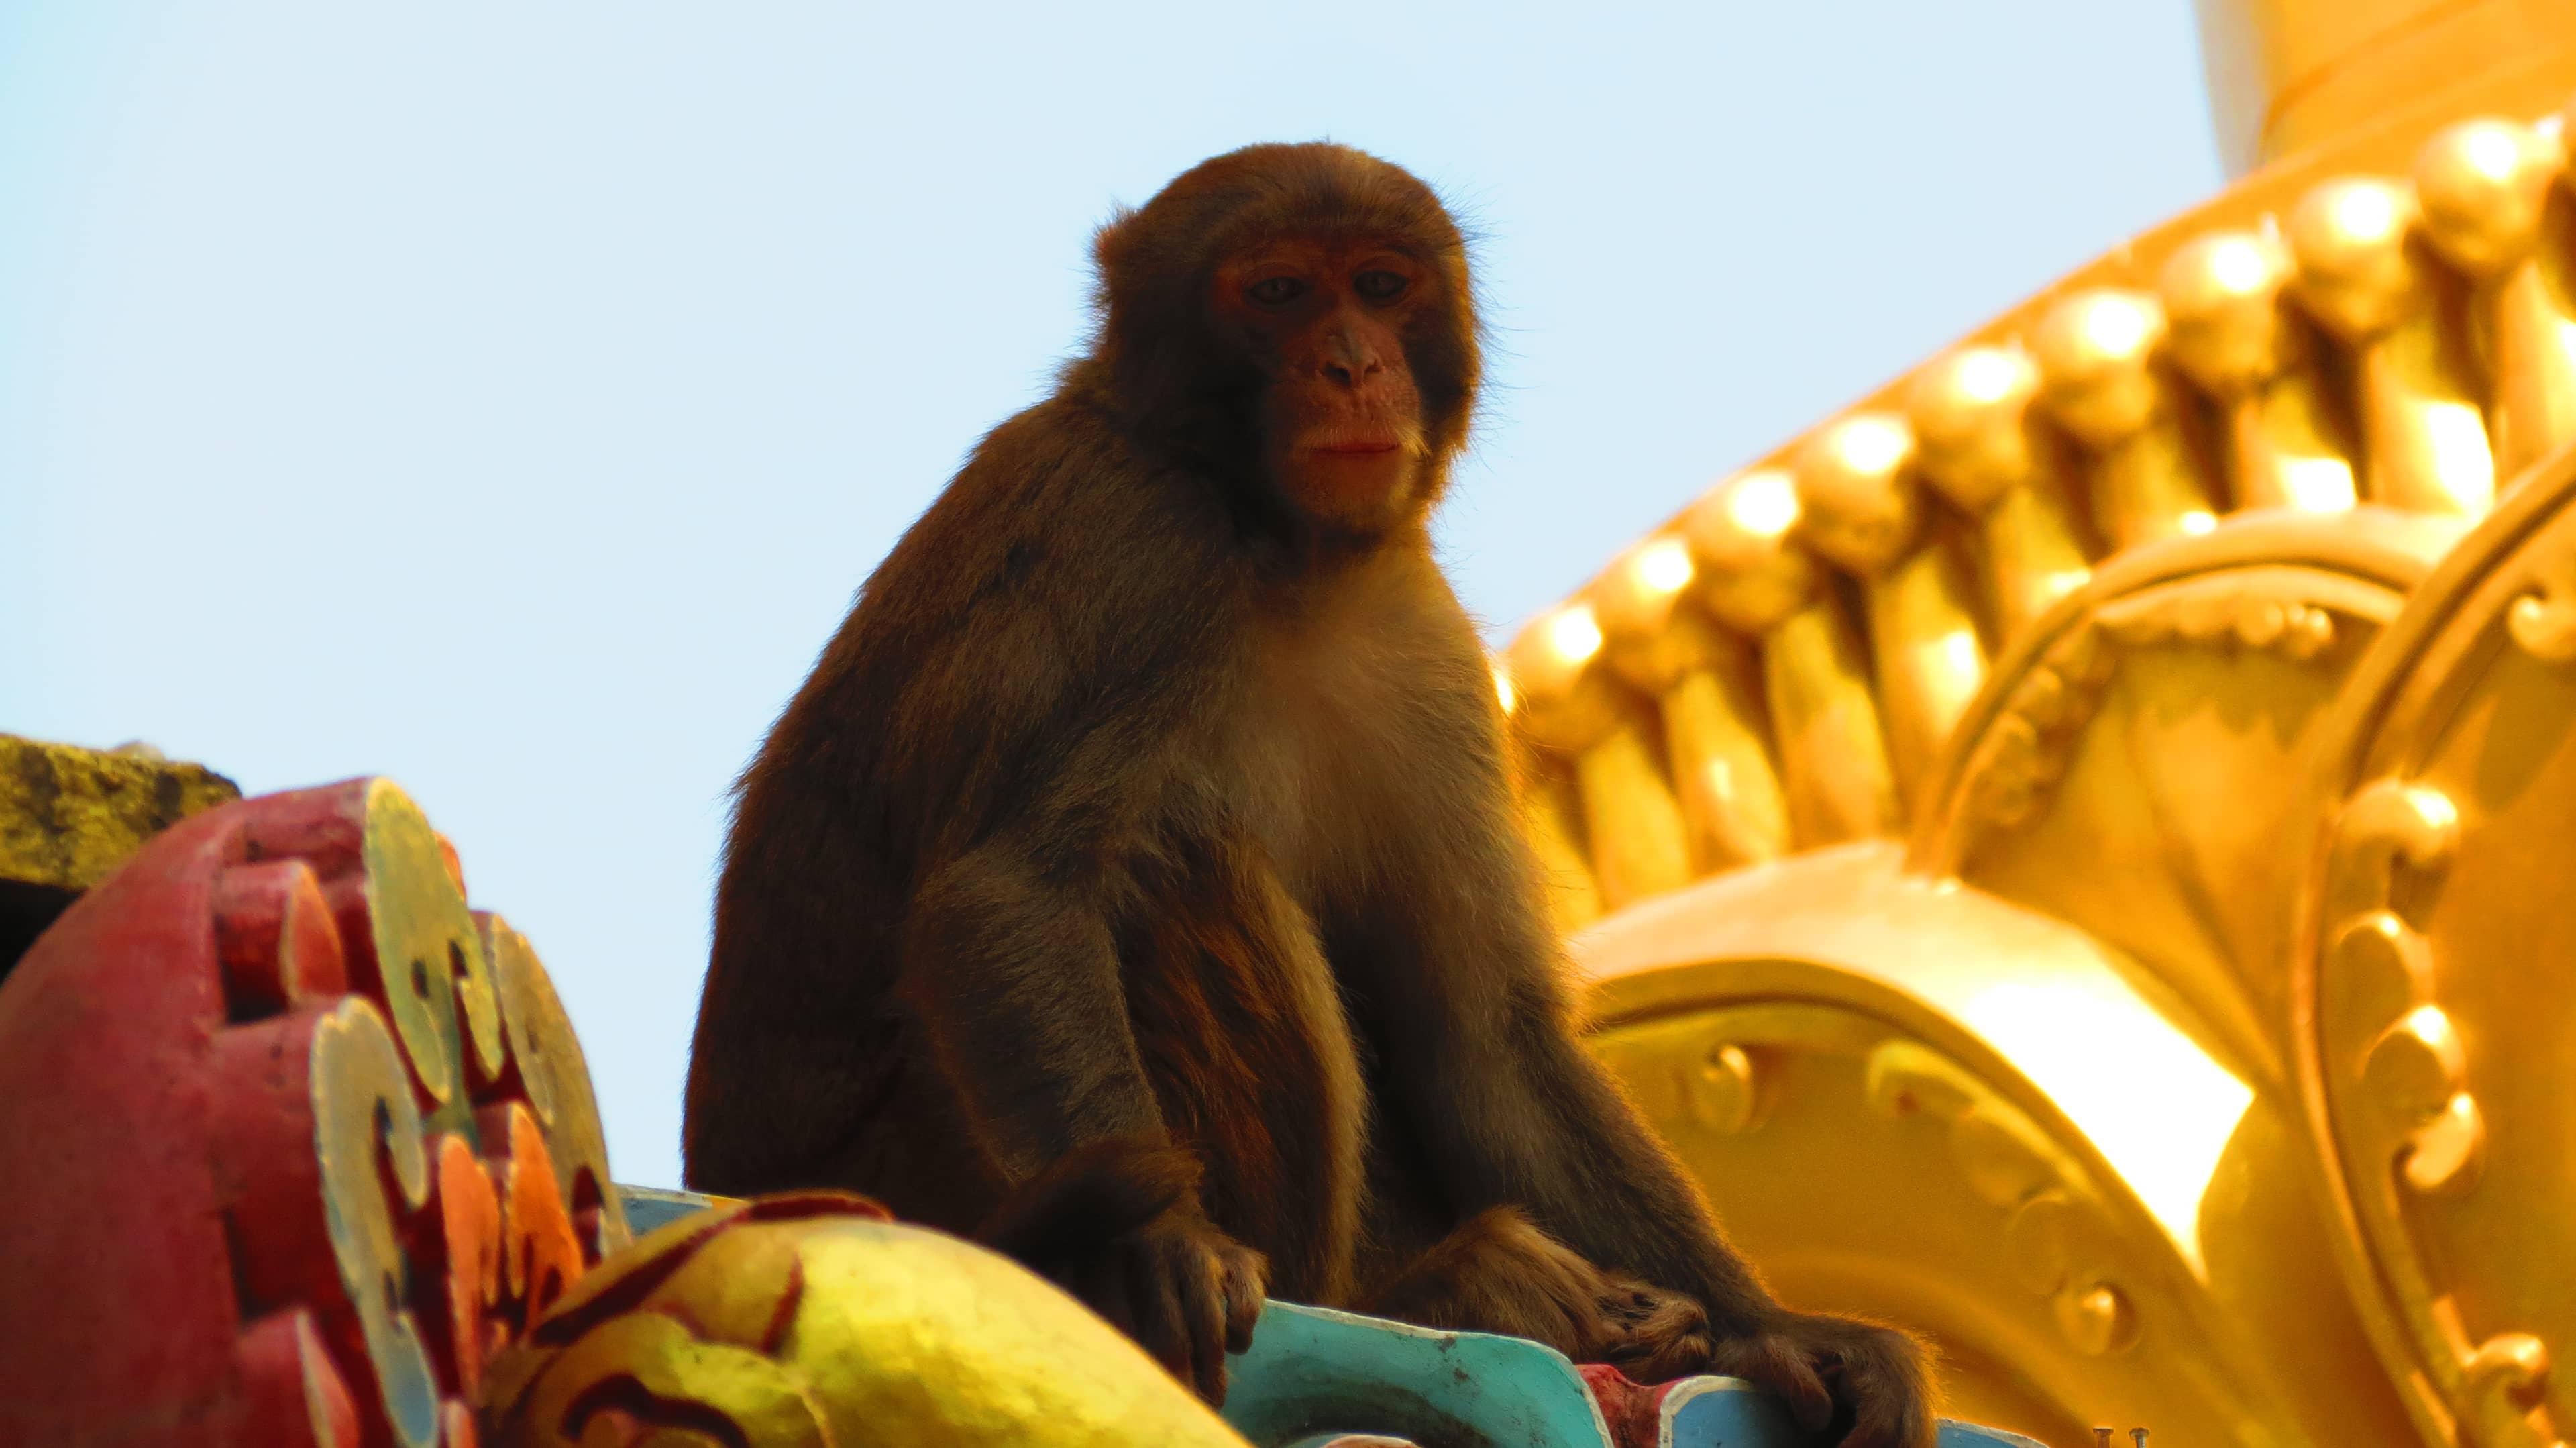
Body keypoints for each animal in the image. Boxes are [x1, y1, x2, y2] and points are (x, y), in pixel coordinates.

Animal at [684, 141, 1932, 1446]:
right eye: (1278, 292)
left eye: (1380, 285)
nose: (1353, 365)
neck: (1277, 548)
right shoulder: (1124, 525)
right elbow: (1013, 886)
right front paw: (1161, 1237)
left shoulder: (1418, 640)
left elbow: (1484, 1033)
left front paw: (1775, 1329)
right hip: (922, 1172)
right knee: (1182, 871)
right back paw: (1415, 1289)